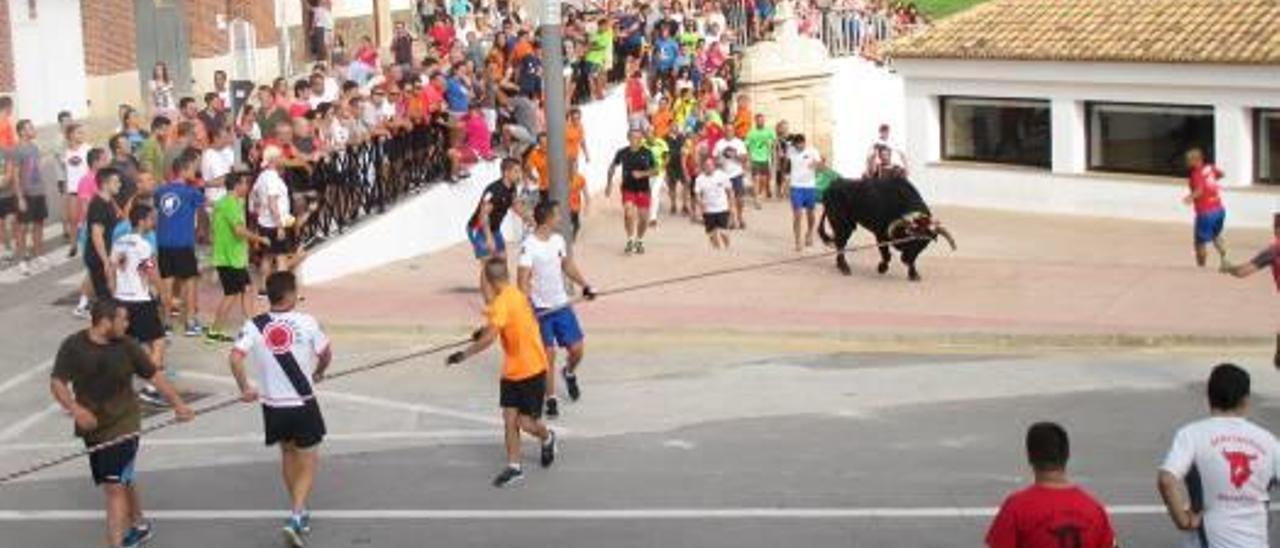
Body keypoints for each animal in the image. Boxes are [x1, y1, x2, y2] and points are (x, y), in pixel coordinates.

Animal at [814, 177, 957, 280]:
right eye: (908, 238)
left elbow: (912, 259)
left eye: (922, 244)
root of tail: (831, 186)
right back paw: (844, 267)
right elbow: (886, 255)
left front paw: (914, 274)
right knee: (840, 243)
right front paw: (881, 268)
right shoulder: (880, 234)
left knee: (840, 243)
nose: (905, 259)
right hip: (842, 224)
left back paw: (840, 265)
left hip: (848, 225)